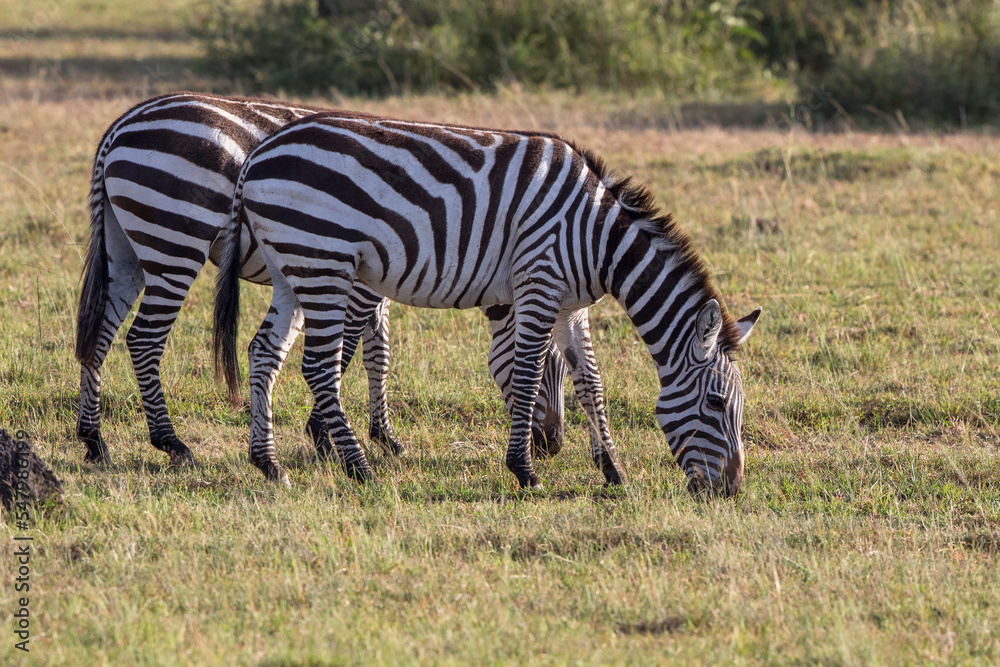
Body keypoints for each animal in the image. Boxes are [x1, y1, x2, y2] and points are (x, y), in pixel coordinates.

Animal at [75, 92, 570, 468]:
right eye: (549, 367)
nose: (553, 447)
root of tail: (120, 126)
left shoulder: (374, 282)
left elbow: (377, 354)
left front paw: (382, 435)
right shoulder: (361, 280)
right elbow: (348, 351)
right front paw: (326, 437)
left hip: (126, 249)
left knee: (98, 334)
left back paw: (94, 441)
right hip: (174, 239)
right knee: (143, 339)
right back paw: (171, 443)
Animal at [214, 112, 761, 494]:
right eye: (716, 403)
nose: (731, 490)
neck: (597, 238)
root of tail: (258, 154)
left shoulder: (571, 304)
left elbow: (591, 382)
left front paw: (613, 469)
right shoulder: (539, 281)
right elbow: (527, 376)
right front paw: (525, 471)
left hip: (291, 268)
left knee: (264, 352)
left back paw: (269, 464)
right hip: (323, 261)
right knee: (318, 367)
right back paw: (359, 468)